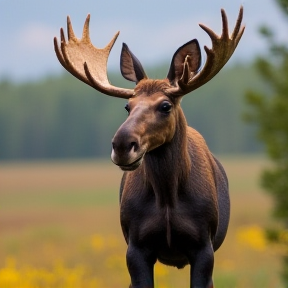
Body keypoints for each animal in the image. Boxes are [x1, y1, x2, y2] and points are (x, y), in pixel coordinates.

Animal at [54, 6, 245, 288]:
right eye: (127, 106)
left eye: (165, 106)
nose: (122, 144)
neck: (167, 198)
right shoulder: (136, 246)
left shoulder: (204, 245)